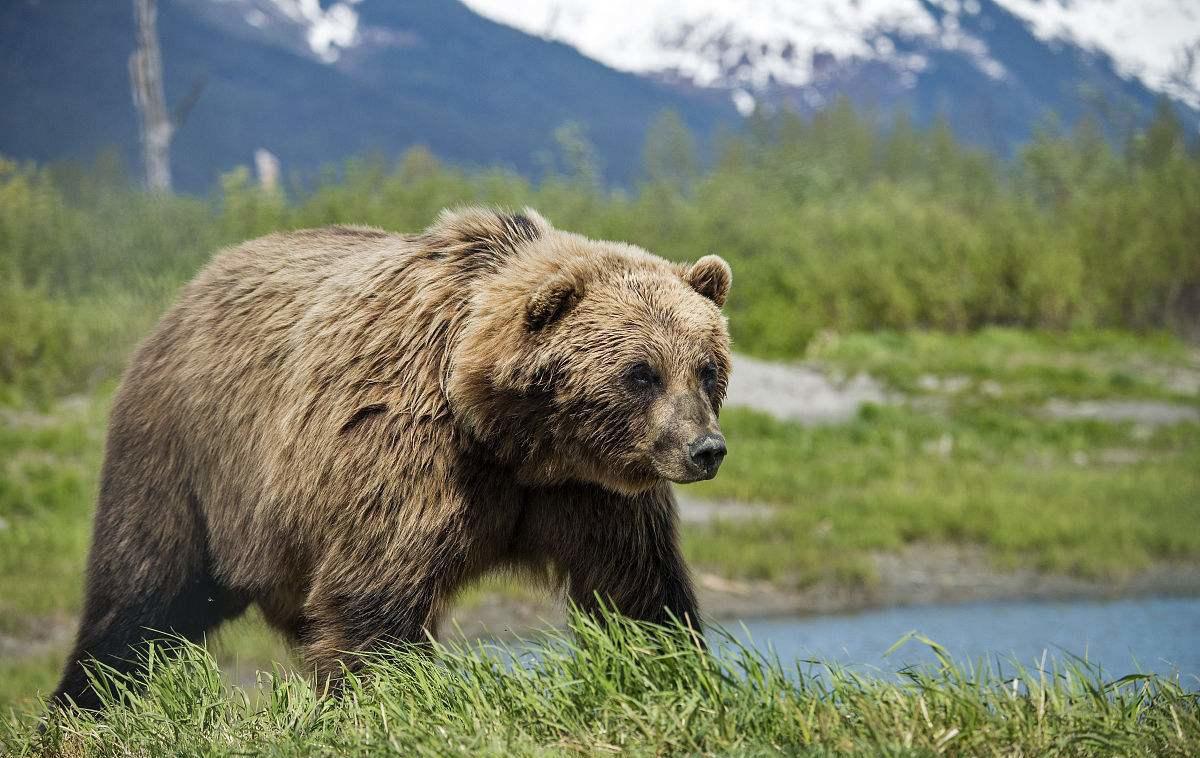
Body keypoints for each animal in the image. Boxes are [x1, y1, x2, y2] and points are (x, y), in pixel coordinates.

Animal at [54, 207, 729, 710]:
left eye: (705, 368)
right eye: (641, 373)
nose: (706, 449)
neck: (510, 438)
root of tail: (187, 293)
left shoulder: (587, 492)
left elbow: (635, 589)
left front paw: (672, 671)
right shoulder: (408, 458)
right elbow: (374, 602)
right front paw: (385, 697)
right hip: (187, 458)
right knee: (144, 591)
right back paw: (86, 700)